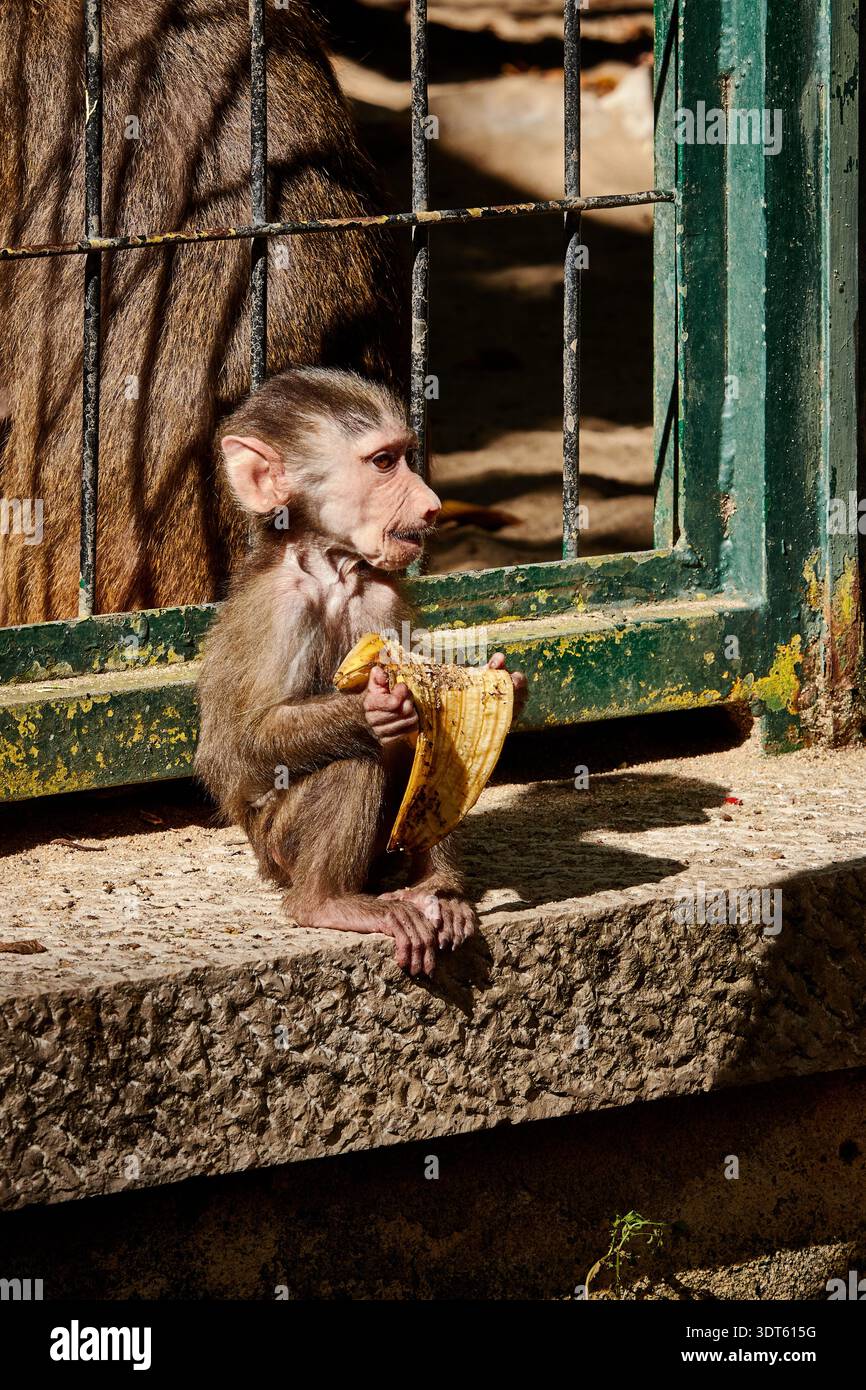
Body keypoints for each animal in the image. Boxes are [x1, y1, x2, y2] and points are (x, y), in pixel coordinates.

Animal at [195, 367, 527, 976]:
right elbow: (234, 745)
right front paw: (372, 708)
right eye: (383, 462)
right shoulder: (279, 609)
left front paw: (506, 684)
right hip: (276, 849)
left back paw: (435, 889)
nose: (431, 504)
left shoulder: (381, 596)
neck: (333, 571)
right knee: (355, 759)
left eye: (404, 456)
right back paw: (325, 901)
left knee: (432, 760)